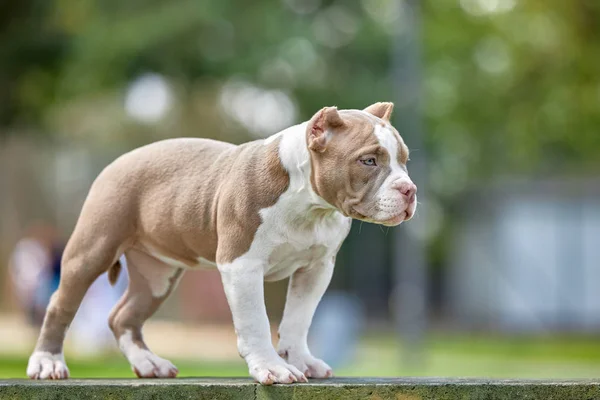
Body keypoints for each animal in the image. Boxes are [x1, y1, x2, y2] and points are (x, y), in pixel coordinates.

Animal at [25, 102, 414, 384]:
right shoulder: (243, 266)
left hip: (157, 276)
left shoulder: (316, 268)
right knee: (60, 305)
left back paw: (149, 364)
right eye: (368, 160)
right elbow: (256, 321)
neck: (309, 204)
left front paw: (302, 360)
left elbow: (298, 319)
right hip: (92, 249)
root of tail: (119, 161)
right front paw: (273, 368)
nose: (410, 190)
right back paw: (47, 363)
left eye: (405, 161)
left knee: (123, 316)